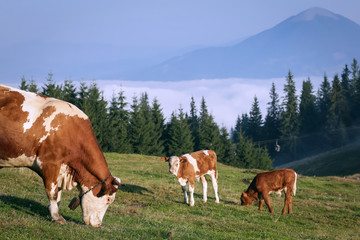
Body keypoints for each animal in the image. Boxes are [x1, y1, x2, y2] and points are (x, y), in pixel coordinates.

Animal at [0, 86, 121, 227]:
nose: (98, 225)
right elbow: (52, 192)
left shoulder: (61, 169)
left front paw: (52, 211)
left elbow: (58, 194)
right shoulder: (49, 163)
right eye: (108, 199)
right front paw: (57, 217)